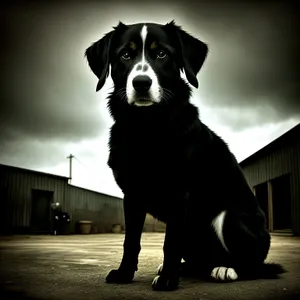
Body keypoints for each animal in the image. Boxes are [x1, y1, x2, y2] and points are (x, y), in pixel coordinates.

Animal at [84, 20, 284, 290]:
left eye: (161, 53)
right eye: (125, 54)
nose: (141, 83)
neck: (146, 127)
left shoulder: (180, 194)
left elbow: (170, 243)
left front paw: (168, 280)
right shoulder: (132, 195)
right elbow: (131, 241)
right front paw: (125, 274)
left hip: (230, 217)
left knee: (254, 265)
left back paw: (226, 269)